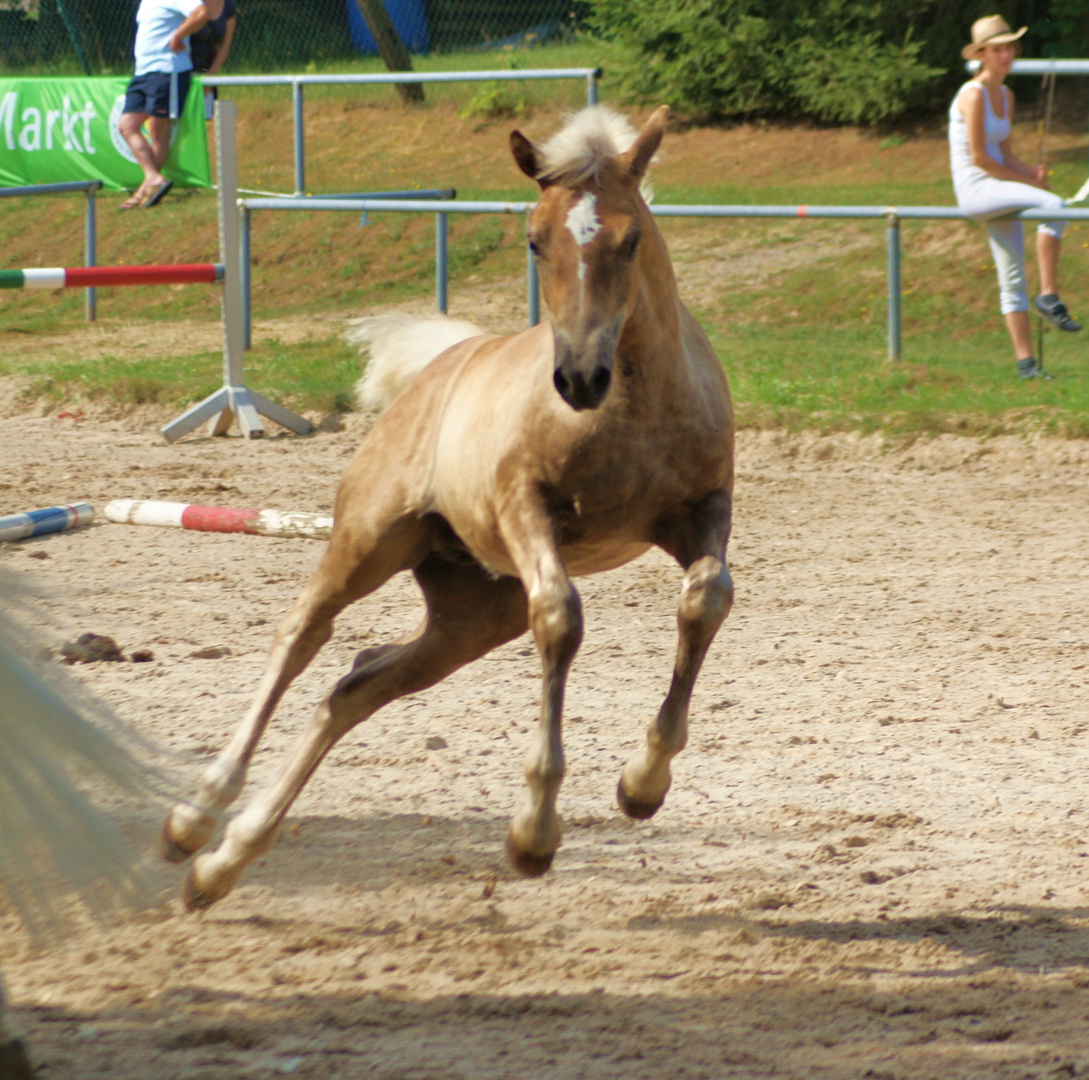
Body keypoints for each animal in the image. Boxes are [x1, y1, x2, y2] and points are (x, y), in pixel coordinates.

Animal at [161, 105, 736, 905]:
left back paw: (224, 861)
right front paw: (533, 832)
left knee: (356, 684)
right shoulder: (528, 509)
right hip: (369, 541)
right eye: (534, 239)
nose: (577, 378)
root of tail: (434, 370)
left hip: (472, 612)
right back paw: (195, 818)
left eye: (631, 239)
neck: (634, 404)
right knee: (301, 636)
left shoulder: (701, 510)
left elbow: (706, 597)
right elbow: (560, 618)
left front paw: (642, 784)